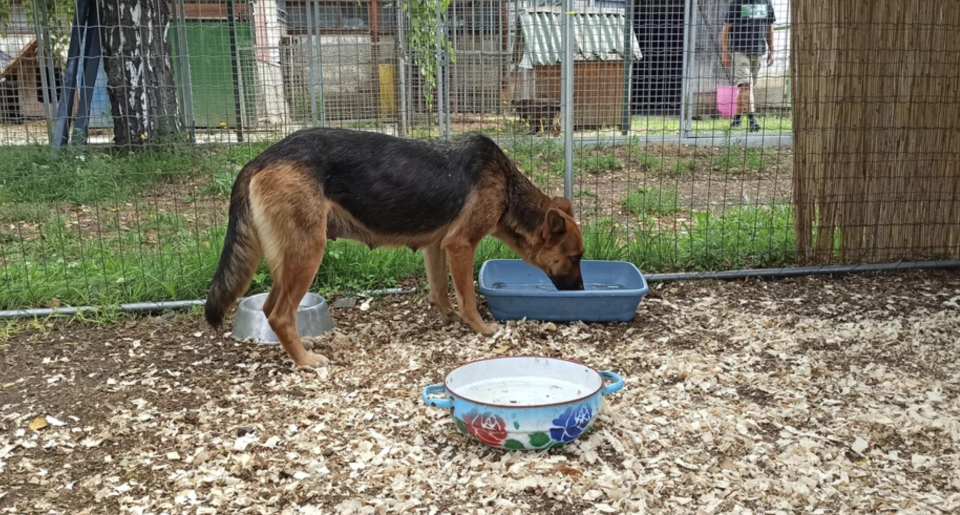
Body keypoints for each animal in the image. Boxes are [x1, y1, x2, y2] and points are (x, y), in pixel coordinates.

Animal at [206, 131, 584, 368]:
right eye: (575, 257)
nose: (581, 291)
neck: (506, 185)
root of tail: (259, 159)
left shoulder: (437, 246)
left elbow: (440, 290)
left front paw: (450, 316)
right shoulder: (461, 245)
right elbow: (466, 296)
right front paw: (480, 327)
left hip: (288, 259)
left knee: (270, 307)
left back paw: (300, 347)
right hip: (307, 253)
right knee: (280, 314)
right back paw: (305, 361)